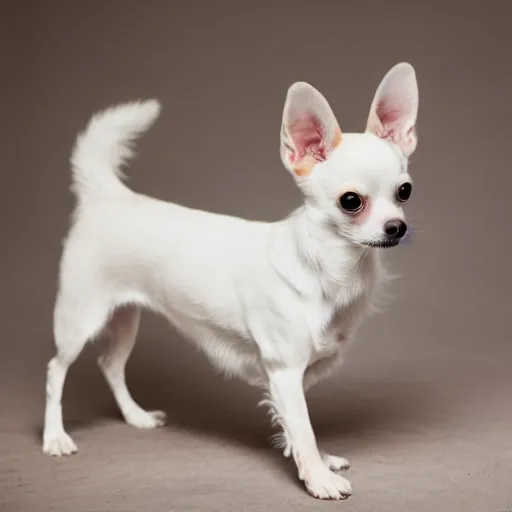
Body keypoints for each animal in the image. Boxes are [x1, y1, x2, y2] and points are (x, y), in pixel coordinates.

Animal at [43, 63, 420, 500]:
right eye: (351, 201)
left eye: (404, 192)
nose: (396, 227)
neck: (333, 270)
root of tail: (110, 197)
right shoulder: (285, 369)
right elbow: (304, 428)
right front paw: (318, 477)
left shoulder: (298, 374)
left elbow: (297, 423)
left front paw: (308, 457)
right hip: (79, 319)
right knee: (56, 370)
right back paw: (55, 437)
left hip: (125, 318)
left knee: (110, 364)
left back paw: (135, 416)